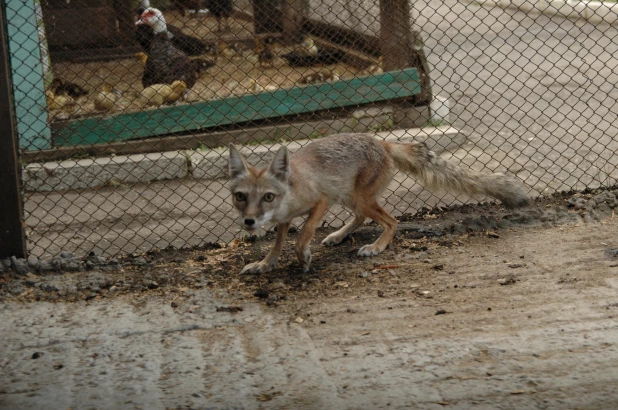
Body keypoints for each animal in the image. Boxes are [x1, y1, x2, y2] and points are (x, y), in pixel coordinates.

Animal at [229, 135, 528, 274]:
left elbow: (303, 235)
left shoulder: (321, 201)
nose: (249, 221)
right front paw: (264, 264)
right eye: (240, 196)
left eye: (267, 197)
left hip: (358, 198)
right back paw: (338, 236)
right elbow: (278, 244)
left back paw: (376, 247)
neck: (290, 193)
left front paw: (303, 256)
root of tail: (382, 142)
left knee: (392, 221)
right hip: (351, 197)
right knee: (362, 218)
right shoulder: (284, 220)